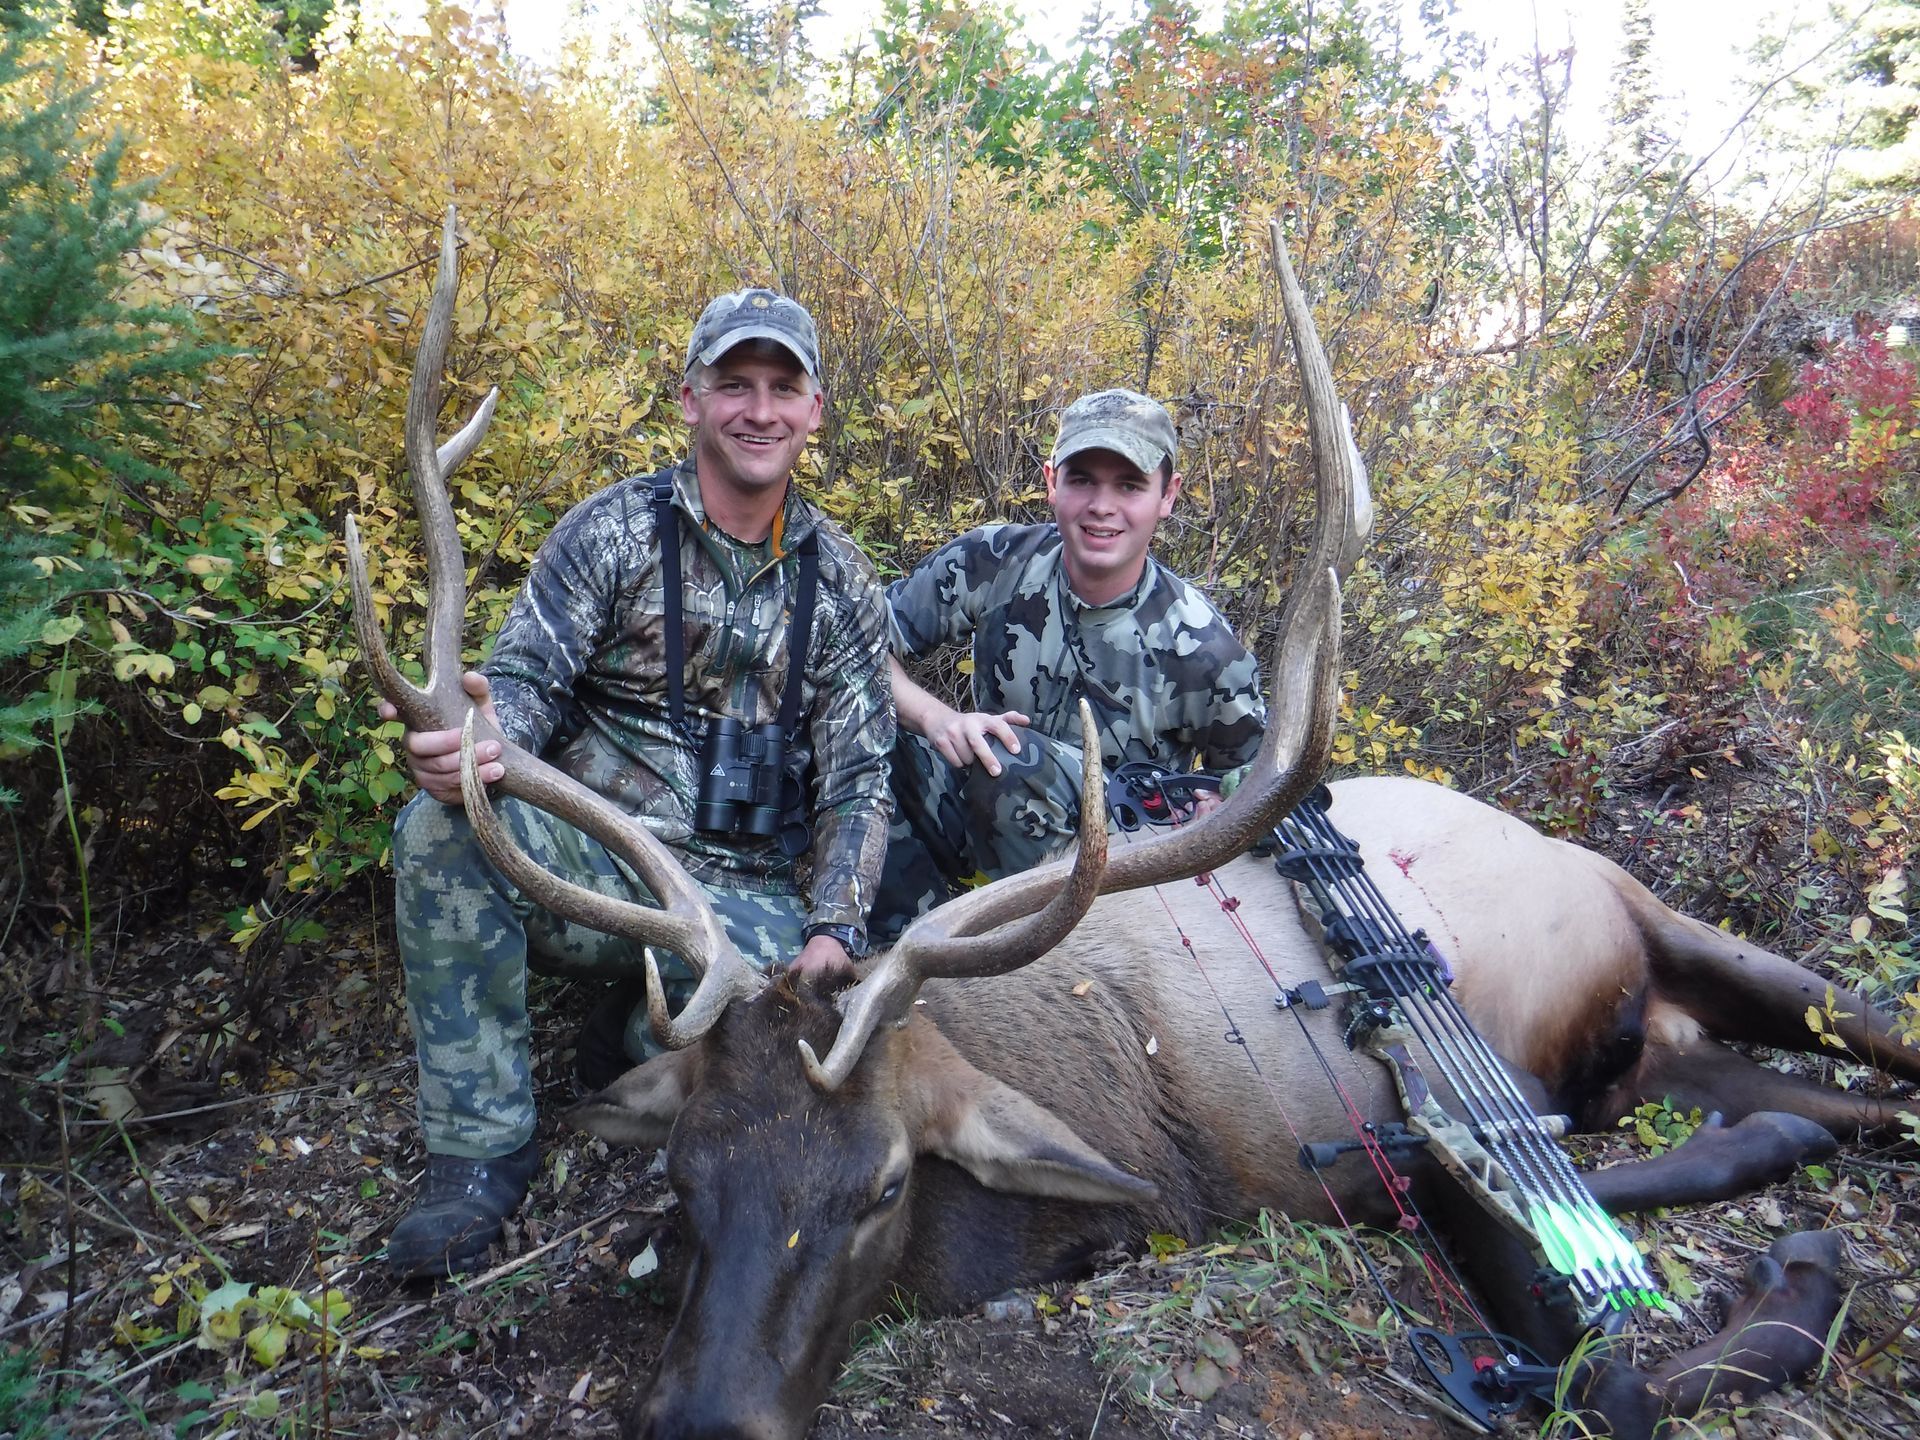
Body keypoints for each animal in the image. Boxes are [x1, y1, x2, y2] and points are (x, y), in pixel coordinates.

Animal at [348, 210, 1917, 1440]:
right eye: (681, 1177)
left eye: (882, 1186)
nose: (702, 1421)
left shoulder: (1378, 1142)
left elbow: (1613, 1378)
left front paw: (1799, 1272)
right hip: (1664, 1044)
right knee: (1819, 1105)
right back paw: (1783, 1141)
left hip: (1667, 925)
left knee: (1855, 1040)